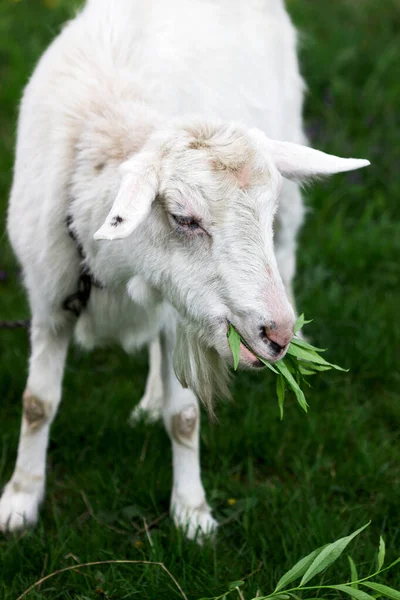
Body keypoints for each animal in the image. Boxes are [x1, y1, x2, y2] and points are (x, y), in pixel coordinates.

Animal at [0, 0, 368, 540]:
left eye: (265, 214)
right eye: (184, 218)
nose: (278, 335)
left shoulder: (180, 316)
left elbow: (186, 417)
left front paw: (192, 514)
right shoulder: (51, 302)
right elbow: (36, 404)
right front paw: (21, 500)